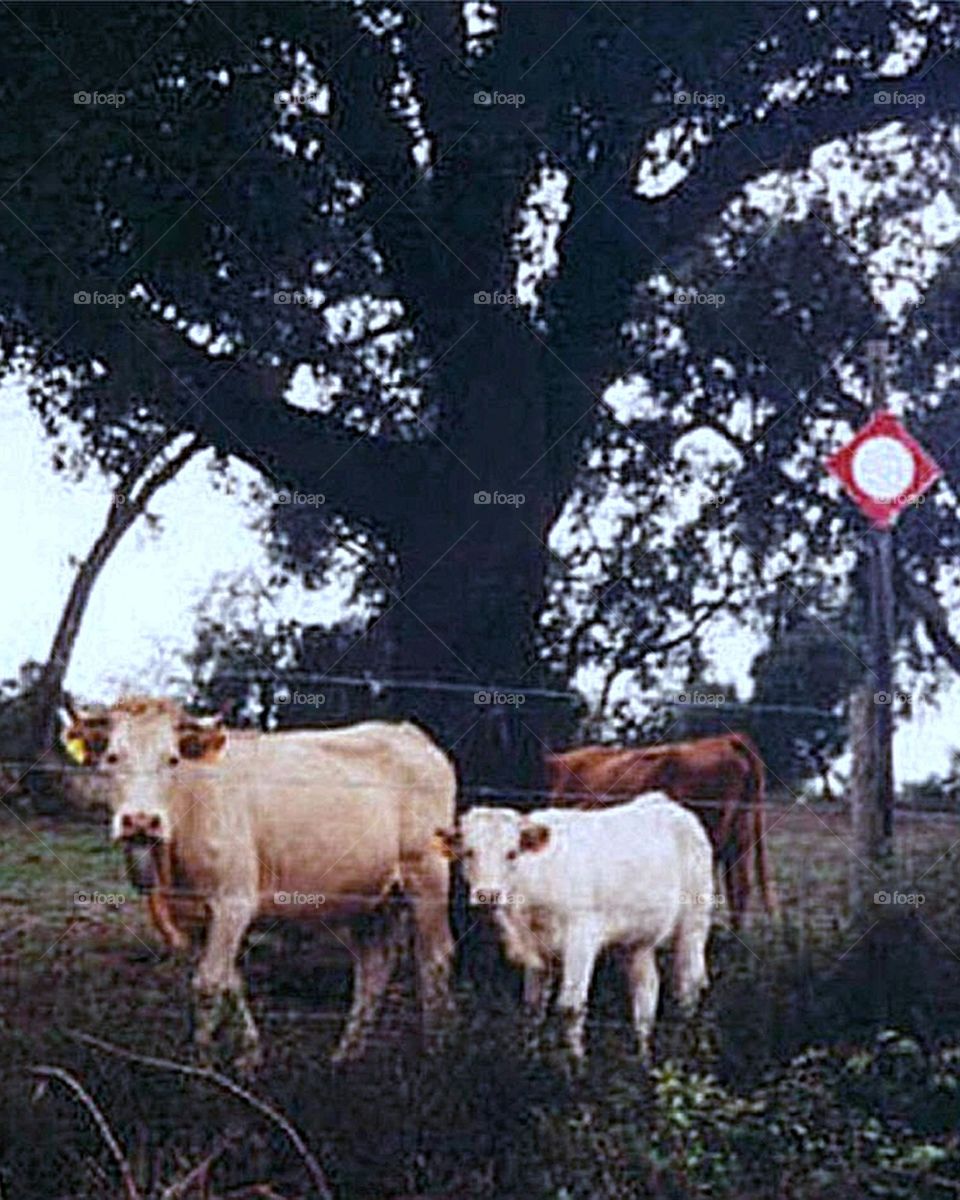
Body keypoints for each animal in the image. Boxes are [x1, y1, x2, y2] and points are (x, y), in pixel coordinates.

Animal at [61, 698, 456, 1068]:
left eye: (172, 760)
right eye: (112, 757)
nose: (141, 821)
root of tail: (408, 733)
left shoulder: (233, 901)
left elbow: (208, 985)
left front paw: (201, 1069)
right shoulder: (194, 915)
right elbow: (229, 982)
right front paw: (249, 1056)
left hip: (427, 876)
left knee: (434, 959)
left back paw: (434, 1054)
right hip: (371, 897)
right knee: (374, 968)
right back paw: (346, 1055)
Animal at [435, 793, 713, 1059]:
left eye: (512, 853)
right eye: (469, 852)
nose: (488, 895)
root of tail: (667, 804)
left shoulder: (580, 938)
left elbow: (571, 1007)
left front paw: (575, 1066)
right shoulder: (537, 948)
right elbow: (533, 1006)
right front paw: (530, 1058)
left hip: (694, 922)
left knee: (689, 984)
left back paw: (686, 1045)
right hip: (637, 943)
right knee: (645, 995)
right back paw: (643, 1058)